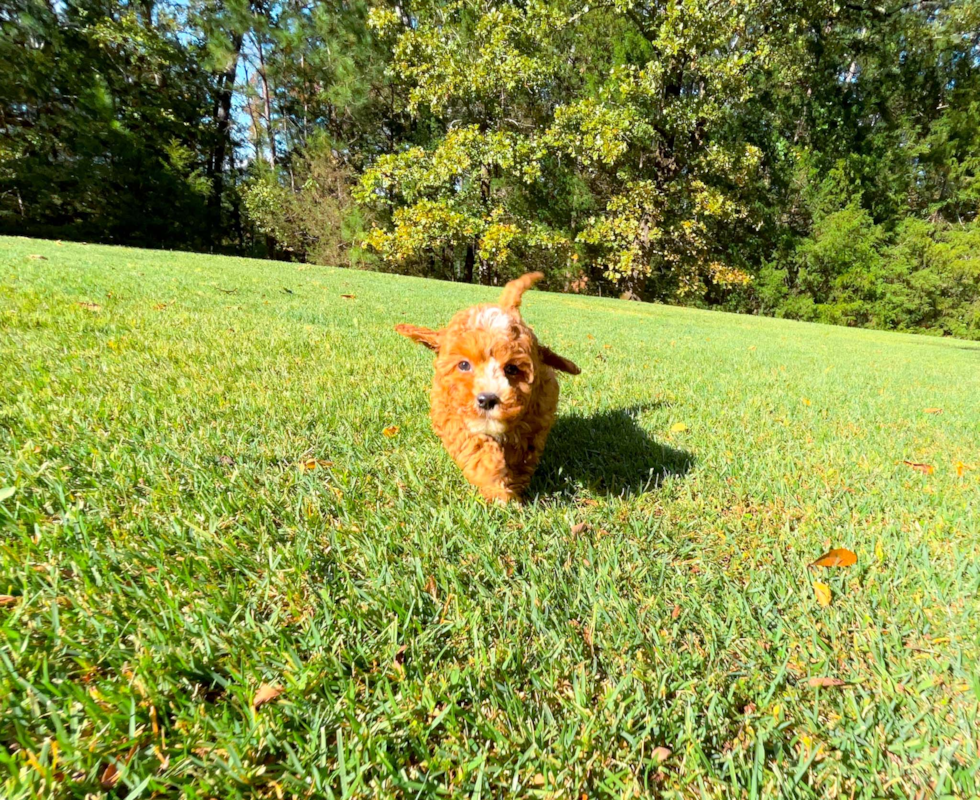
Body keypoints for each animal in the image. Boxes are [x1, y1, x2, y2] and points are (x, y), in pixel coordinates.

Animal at [398, 272, 580, 504]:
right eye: (464, 365)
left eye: (511, 368)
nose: (487, 399)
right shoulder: (451, 415)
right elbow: (475, 448)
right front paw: (495, 485)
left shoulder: (537, 418)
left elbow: (523, 455)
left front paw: (512, 487)